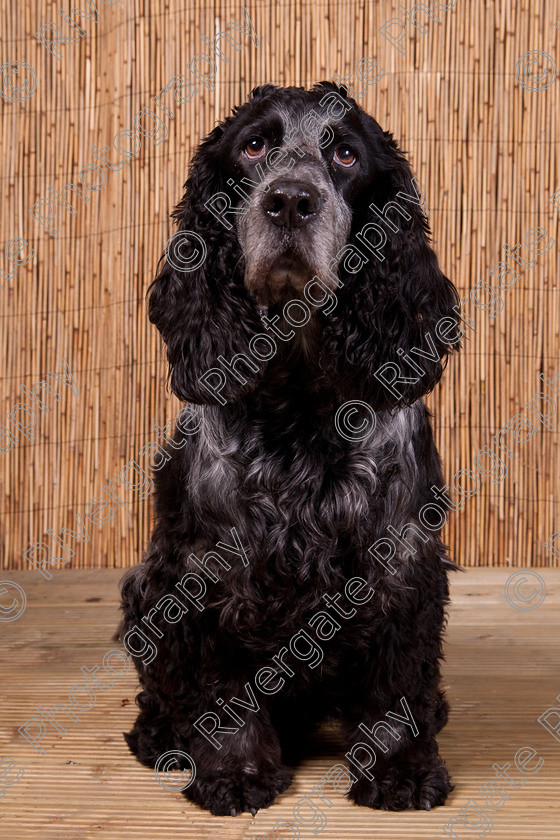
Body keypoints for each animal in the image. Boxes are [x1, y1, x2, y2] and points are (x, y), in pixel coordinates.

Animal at [117, 82, 460, 816]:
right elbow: (220, 690)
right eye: (253, 146)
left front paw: (401, 768)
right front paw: (235, 771)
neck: (300, 399)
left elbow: (396, 679)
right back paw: (161, 734)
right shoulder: (203, 570)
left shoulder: (399, 561)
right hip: (144, 585)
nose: (291, 201)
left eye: (346, 153)